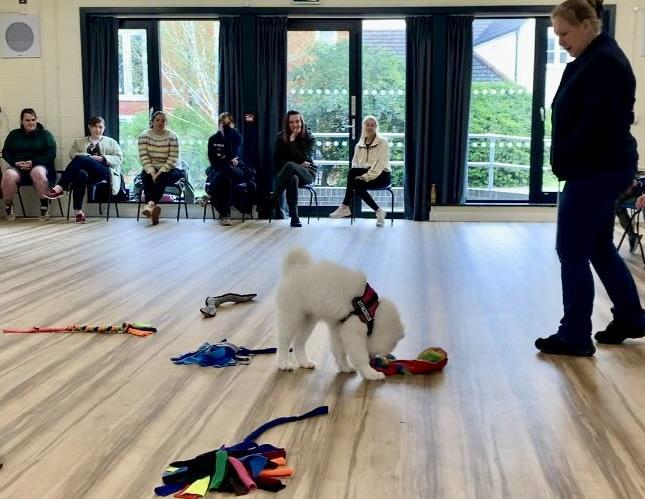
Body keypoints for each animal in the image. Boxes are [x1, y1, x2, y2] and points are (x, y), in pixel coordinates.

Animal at [274, 248, 406, 380]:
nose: (373, 358)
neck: (372, 314)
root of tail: (293, 271)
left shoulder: (339, 328)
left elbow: (340, 352)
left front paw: (345, 367)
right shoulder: (353, 331)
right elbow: (360, 356)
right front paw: (370, 373)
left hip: (308, 321)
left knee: (298, 344)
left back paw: (304, 362)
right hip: (291, 317)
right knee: (283, 343)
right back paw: (283, 364)